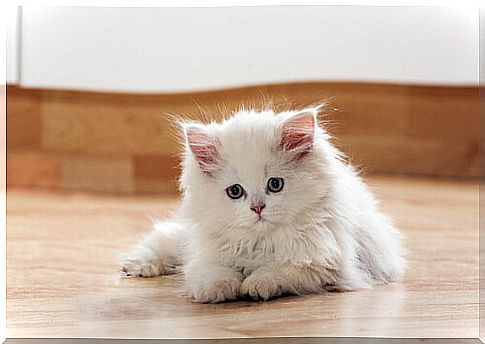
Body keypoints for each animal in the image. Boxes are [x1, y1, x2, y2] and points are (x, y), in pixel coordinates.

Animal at [118, 106, 404, 302]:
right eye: (235, 191)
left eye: (275, 185)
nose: (257, 207)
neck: (260, 242)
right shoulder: (206, 256)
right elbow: (209, 273)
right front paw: (220, 289)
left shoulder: (323, 266)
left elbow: (278, 270)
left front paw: (255, 285)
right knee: (163, 240)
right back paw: (137, 266)